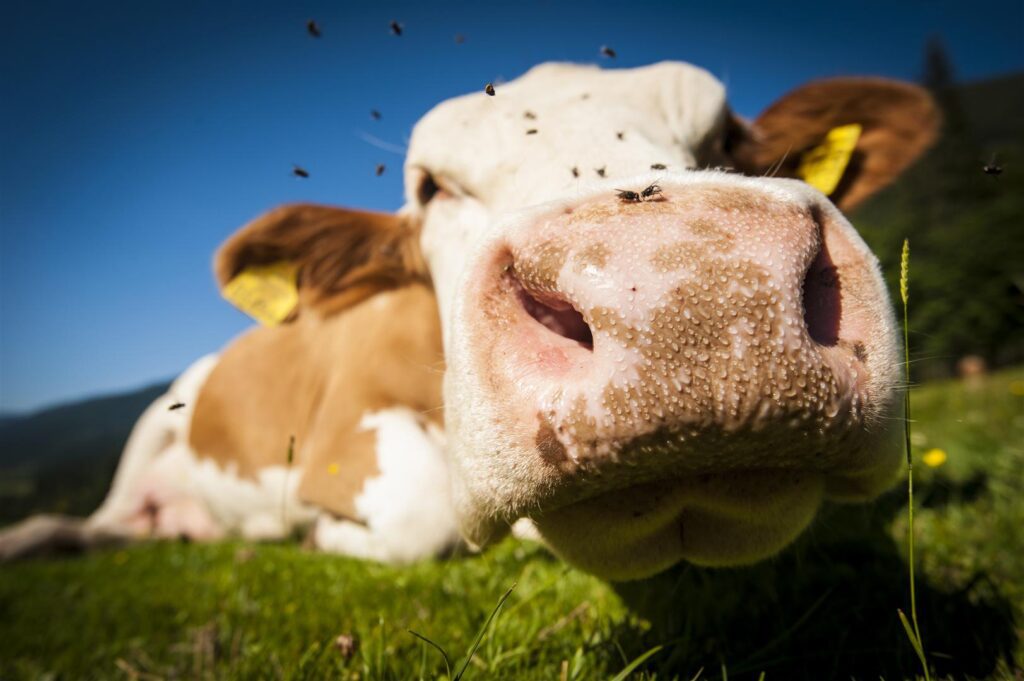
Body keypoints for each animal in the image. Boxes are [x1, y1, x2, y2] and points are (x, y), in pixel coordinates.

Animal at [0, 62, 937, 577]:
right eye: (428, 188)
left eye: (732, 138)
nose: (692, 297)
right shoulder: (343, 435)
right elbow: (425, 514)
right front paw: (314, 534)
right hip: (149, 435)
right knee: (88, 522)